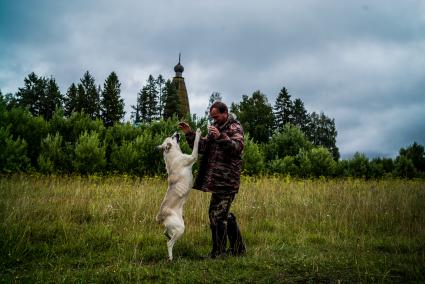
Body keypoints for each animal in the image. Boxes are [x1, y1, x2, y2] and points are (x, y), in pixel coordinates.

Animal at [155, 128, 201, 260]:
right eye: (172, 137)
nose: (176, 132)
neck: (173, 154)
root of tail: (161, 216)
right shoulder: (192, 156)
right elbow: (196, 144)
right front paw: (198, 132)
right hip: (180, 228)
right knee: (169, 243)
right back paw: (170, 258)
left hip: (176, 227)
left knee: (166, 233)